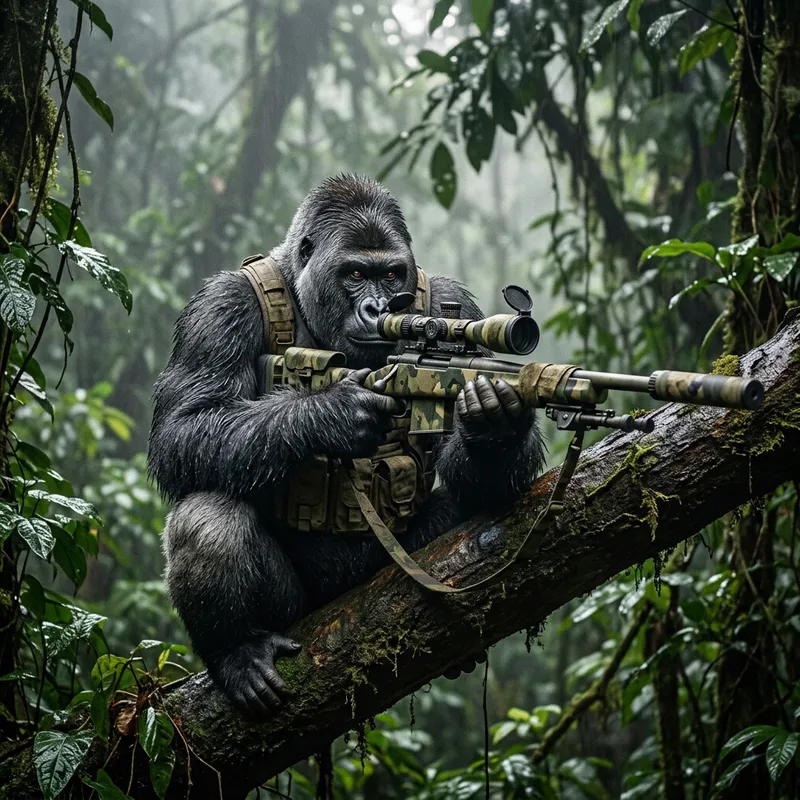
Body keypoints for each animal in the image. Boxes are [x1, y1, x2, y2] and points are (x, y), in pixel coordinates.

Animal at [147, 175, 545, 717]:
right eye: (355, 273)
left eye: (393, 274)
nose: (378, 307)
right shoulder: (220, 306)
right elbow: (181, 428)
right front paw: (331, 414)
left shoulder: (458, 304)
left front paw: (498, 417)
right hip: (297, 613)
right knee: (207, 513)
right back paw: (237, 652)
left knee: (472, 509)